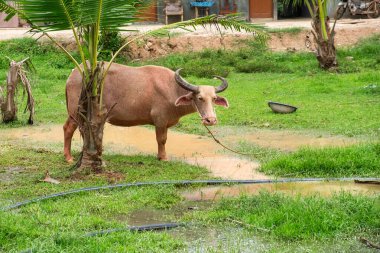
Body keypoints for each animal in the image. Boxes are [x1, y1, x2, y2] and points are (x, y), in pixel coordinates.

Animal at [63, 63, 229, 162]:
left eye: (214, 98)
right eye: (200, 98)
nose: (211, 120)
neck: (172, 89)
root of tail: (73, 74)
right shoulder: (160, 120)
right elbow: (161, 140)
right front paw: (163, 157)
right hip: (77, 111)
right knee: (69, 128)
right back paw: (69, 158)